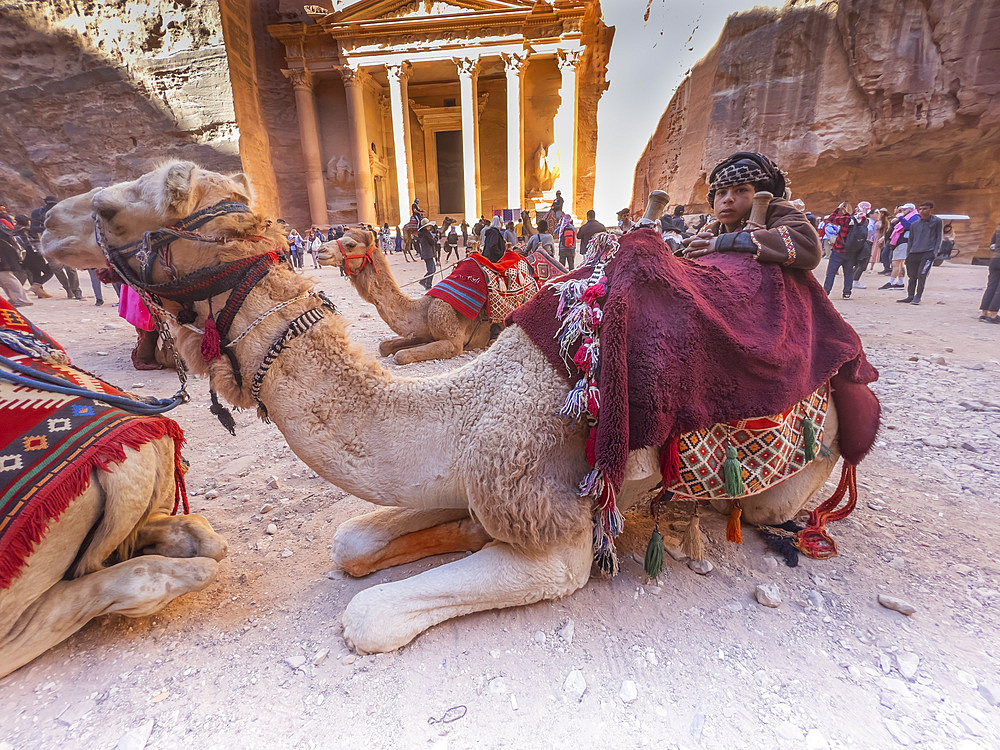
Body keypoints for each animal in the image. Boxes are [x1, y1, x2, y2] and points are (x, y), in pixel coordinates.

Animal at [320, 234, 492, 366]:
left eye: (351, 244)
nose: (321, 250)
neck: (424, 308)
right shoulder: (422, 332)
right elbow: (384, 346)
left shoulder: (454, 342)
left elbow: (401, 355)